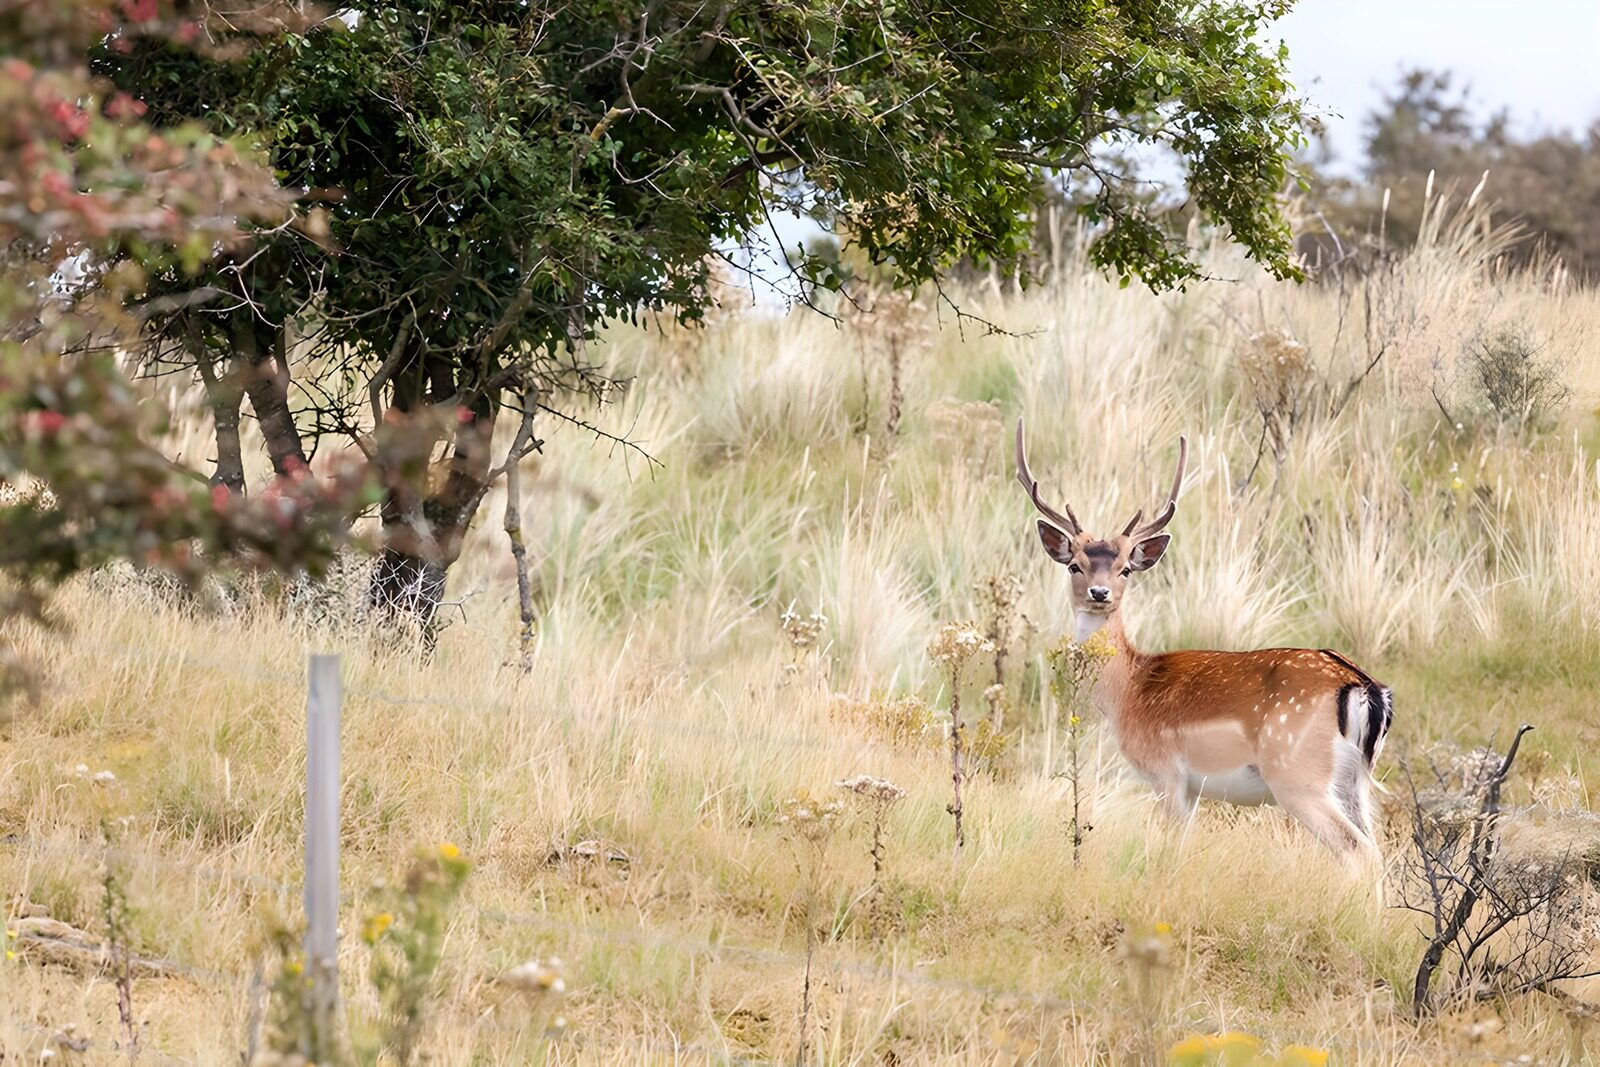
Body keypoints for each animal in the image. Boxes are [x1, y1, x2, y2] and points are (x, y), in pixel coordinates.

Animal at [1015, 420, 1392, 866]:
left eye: (1125, 569)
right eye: (1075, 565)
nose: (1099, 593)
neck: (1126, 690)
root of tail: (1364, 688)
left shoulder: (1166, 773)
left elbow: (1172, 848)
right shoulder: (1192, 788)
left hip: (1297, 776)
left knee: (1357, 851)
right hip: (1356, 781)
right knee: (1378, 849)